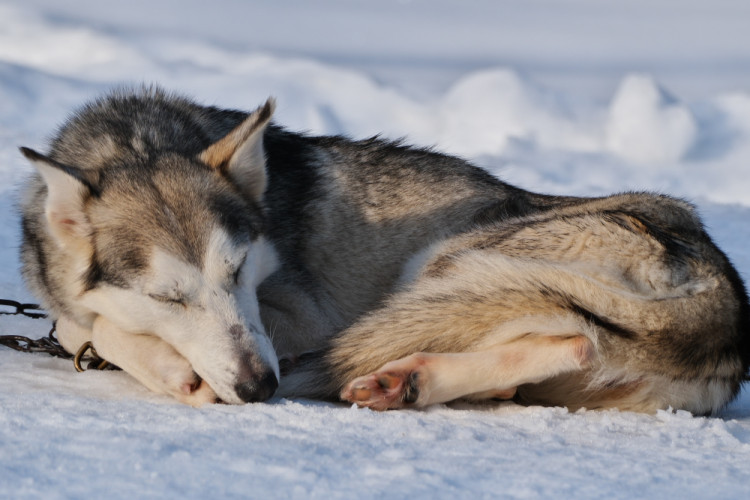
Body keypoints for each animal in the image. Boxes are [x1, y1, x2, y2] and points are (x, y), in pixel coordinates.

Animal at [19, 87, 750, 414]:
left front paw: (173, 369)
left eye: (238, 272)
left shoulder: (298, 321)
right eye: (168, 297)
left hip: (448, 264)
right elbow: (90, 321)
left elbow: (97, 326)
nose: (261, 388)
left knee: (568, 340)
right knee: (551, 358)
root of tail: (727, 304)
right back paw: (412, 382)